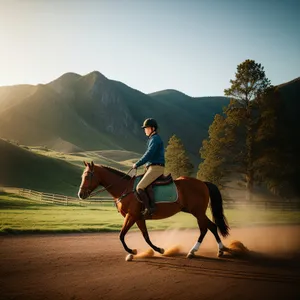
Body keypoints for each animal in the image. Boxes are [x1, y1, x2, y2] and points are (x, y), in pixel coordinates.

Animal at [78, 162, 230, 258]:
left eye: (87, 176)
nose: (81, 194)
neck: (125, 188)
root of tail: (203, 183)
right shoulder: (138, 217)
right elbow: (146, 236)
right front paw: (159, 249)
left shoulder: (131, 216)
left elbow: (121, 235)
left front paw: (132, 251)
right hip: (196, 212)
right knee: (210, 227)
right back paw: (217, 250)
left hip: (197, 212)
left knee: (207, 228)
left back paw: (198, 251)